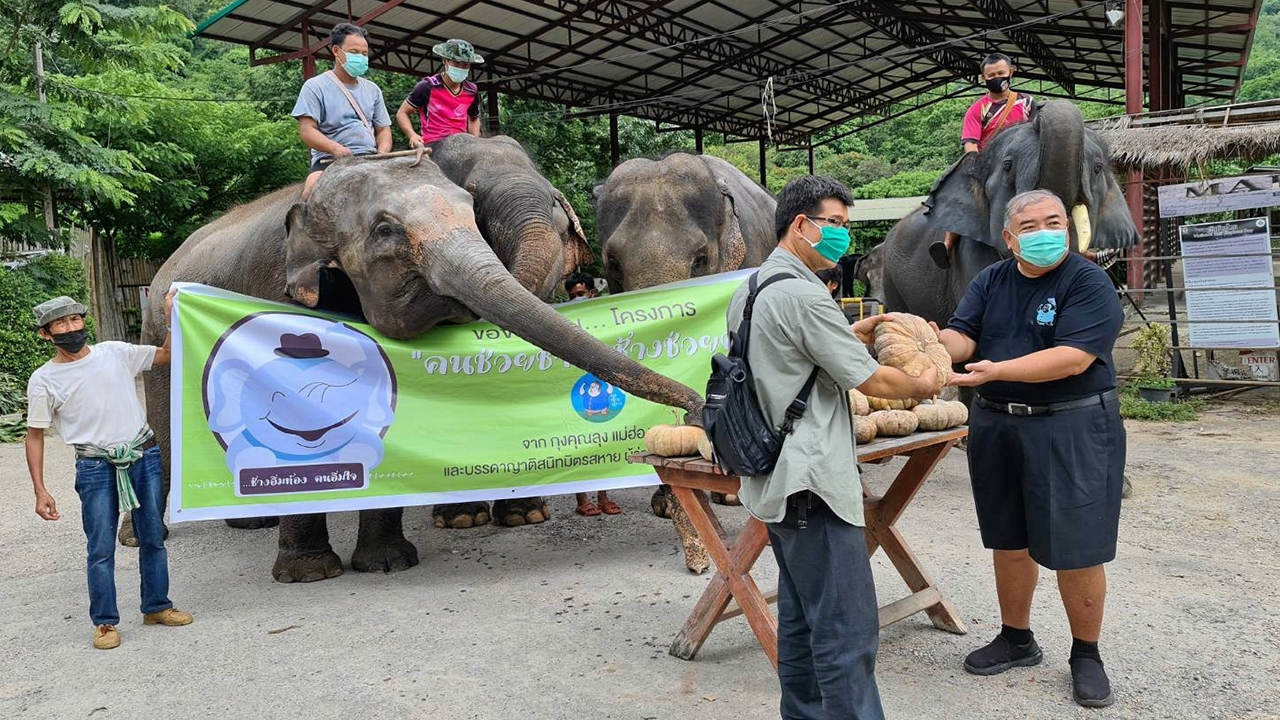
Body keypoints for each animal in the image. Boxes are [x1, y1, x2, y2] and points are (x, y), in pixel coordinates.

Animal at [131, 154, 706, 579]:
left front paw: (386, 564)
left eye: (472, 211)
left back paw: (250, 525)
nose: (696, 409)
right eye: (386, 230)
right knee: (161, 421)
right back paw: (145, 537)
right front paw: (310, 574)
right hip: (154, 338)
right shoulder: (275, 290)